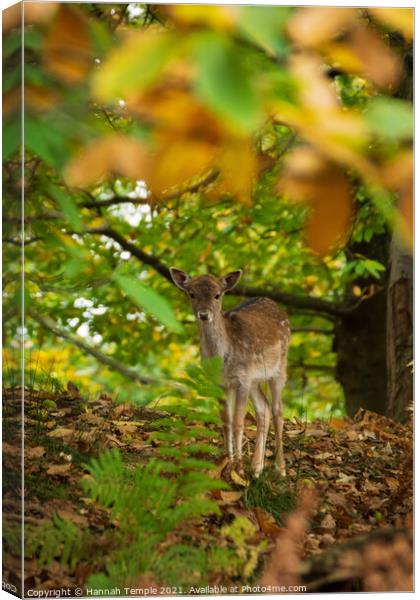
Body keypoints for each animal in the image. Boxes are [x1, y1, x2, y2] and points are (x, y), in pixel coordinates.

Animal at [169, 268, 290, 478]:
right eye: (192, 294)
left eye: (217, 295)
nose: (204, 314)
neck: (223, 359)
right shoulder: (221, 383)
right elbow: (226, 420)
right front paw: (226, 462)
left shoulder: (242, 379)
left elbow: (238, 421)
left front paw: (238, 467)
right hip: (255, 380)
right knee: (264, 409)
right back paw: (257, 467)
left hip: (279, 368)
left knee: (278, 411)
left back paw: (280, 468)